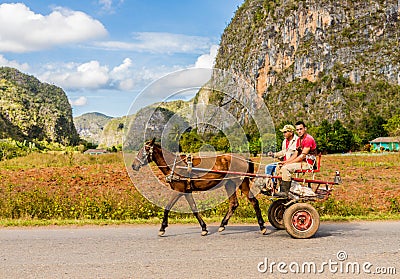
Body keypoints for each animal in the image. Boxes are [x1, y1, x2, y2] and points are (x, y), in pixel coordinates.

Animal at [132, 139, 268, 237]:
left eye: (145, 151)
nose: (134, 165)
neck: (175, 166)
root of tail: (244, 159)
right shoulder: (186, 191)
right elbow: (194, 208)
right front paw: (204, 228)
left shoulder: (179, 191)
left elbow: (167, 207)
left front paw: (162, 228)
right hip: (229, 184)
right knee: (233, 204)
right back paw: (222, 225)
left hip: (242, 182)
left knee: (254, 202)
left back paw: (262, 226)